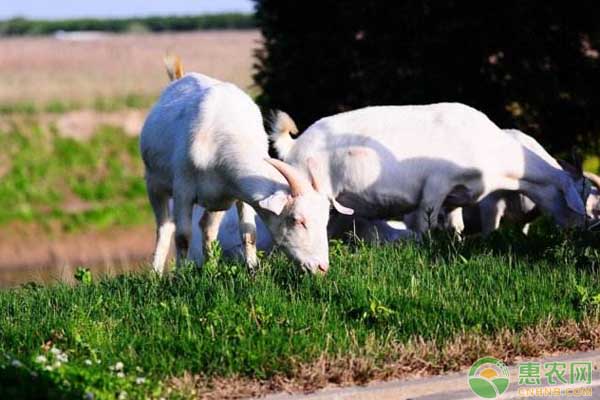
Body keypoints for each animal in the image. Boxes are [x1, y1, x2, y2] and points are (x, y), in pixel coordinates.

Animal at [137, 57, 342, 276]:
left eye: (325, 220)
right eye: (296, 219)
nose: (321, 267)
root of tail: (179, 78)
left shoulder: (240, 194)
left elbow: (249, 233)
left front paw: (252, 270)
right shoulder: (183, 190)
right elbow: (183, 236)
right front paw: (180, 275)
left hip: (217, 200)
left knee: (207, 227)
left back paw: (211, 267)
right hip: (154, 183)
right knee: (165, 227)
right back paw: (156, 273)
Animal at [270, 104, 584, 234]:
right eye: (572, 194)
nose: (581, 228)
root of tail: (294, 144)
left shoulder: (455, 198)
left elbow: (455, 227)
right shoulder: (436, 186)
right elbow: (425, 225)